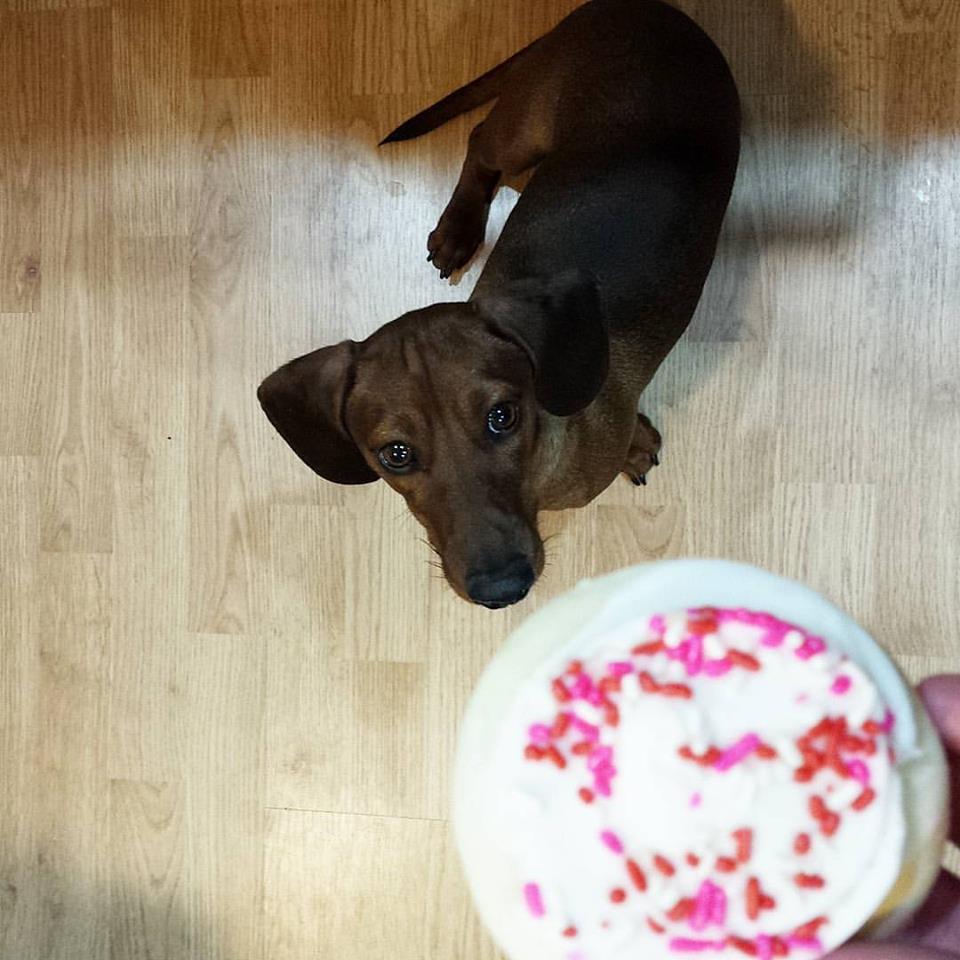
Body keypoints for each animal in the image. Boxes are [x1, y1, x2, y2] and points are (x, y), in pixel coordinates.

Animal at [258, 1, 740, 608]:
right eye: (396, 454)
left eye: (502, 416)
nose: (501, 588)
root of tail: (633, 6)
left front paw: (636, 440)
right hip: (524, 135)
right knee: (480, 141)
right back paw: (458, 229)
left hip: (523, 130)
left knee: (480, 137)